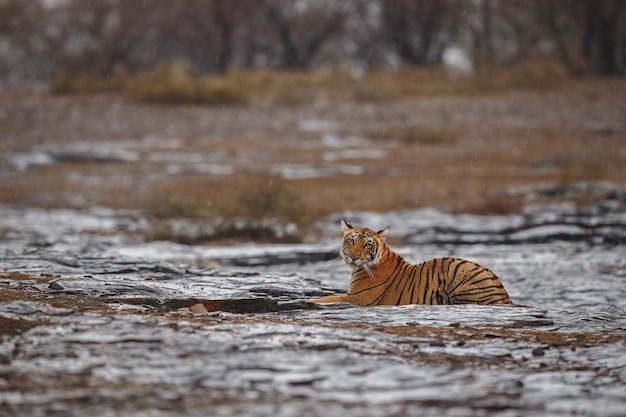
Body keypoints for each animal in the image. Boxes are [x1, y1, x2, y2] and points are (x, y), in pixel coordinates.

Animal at [310, 218, 510, 306]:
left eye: (367, 244)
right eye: (351, 241)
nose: (353, 257)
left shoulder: (357, 298)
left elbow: (328, 298)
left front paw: (311, 300)